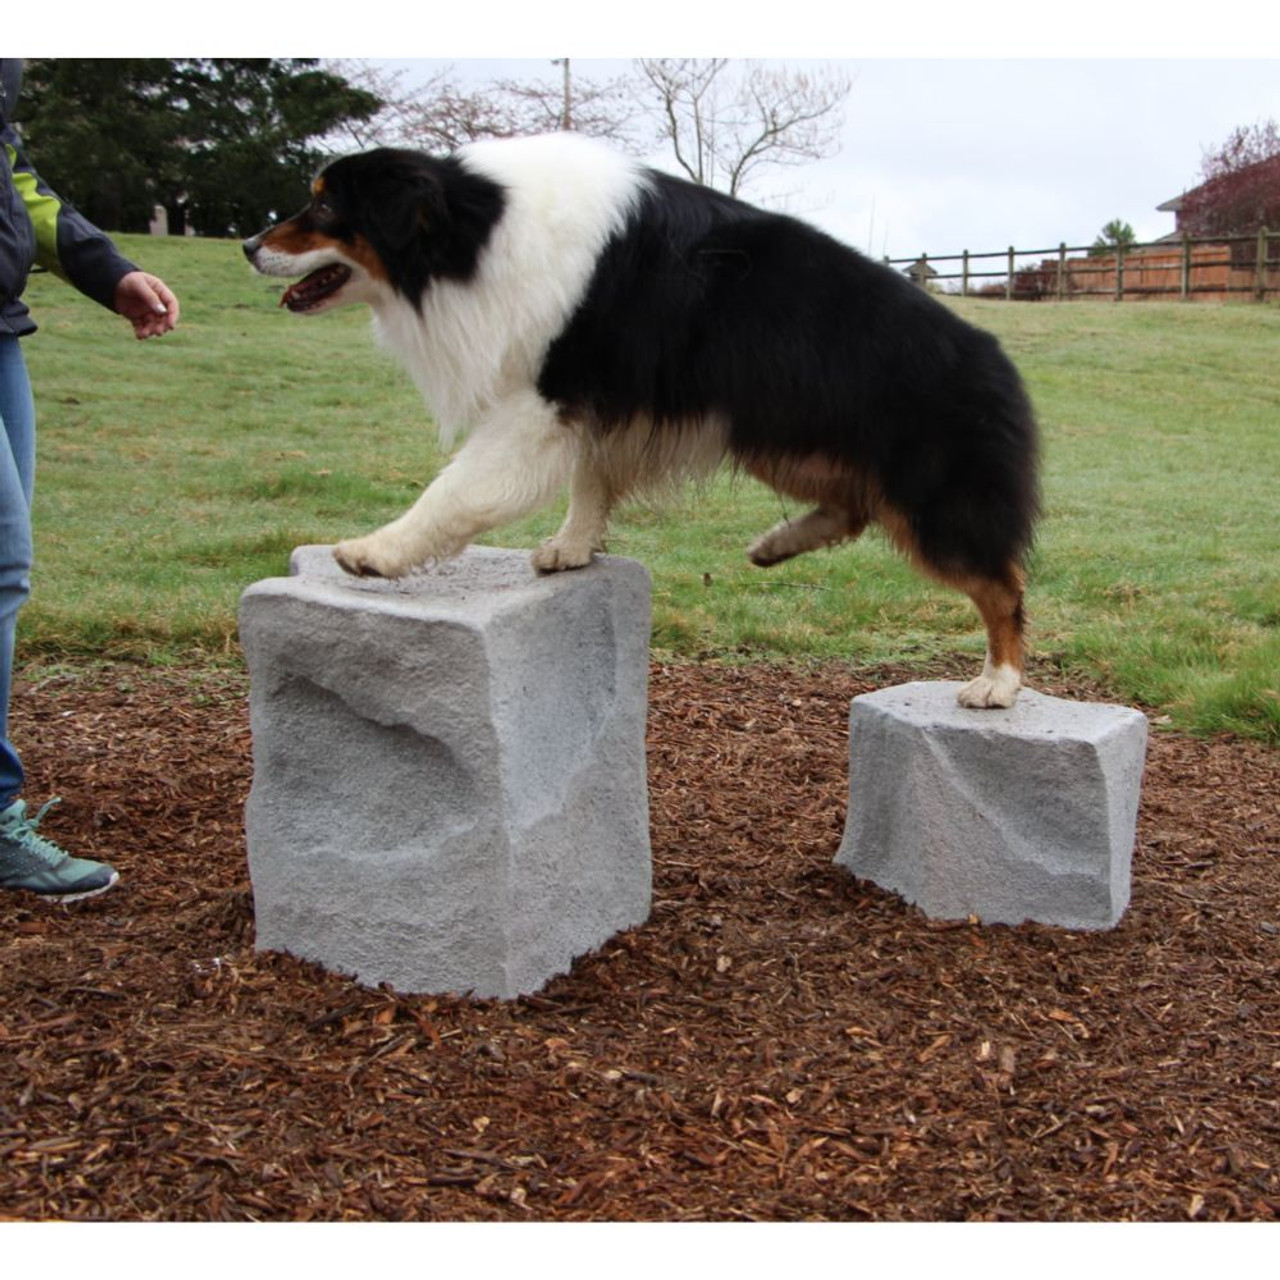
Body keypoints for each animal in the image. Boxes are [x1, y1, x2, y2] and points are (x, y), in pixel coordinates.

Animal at [241, 132, 1039, 711]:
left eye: (324, 208)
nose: (247, 245)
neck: (476, 228)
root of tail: (998, 359)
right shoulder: (603, 402)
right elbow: (590, 481)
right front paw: (573, 547)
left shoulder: (541, 398)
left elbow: (459, 489)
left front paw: (375, 552)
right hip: (776, 436)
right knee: (851, 508)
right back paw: (774, 544)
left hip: (927, 495)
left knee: (1002, 586)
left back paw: (998, 682)